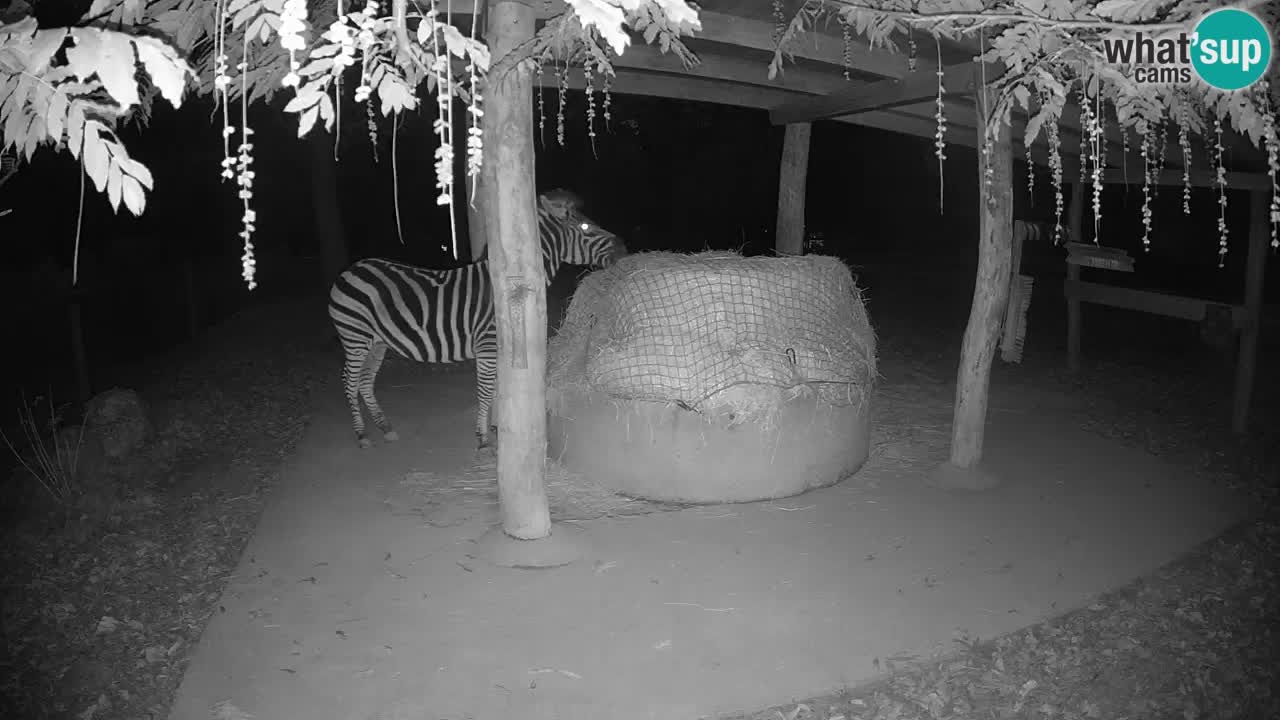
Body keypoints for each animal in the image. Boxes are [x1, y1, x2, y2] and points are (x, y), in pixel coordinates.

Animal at [327, 193, 622, 445]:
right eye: (585, 226)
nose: (625, 248)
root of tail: (349, 270)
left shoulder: (499, 347)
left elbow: (496, 389)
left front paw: (495, 428)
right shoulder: (487, 345)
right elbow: (485, 390)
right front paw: (482, 438)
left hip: (377, 342)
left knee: (365, 382)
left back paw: (385, 428)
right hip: (355, 336)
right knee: (349, 381)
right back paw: (362, 434)